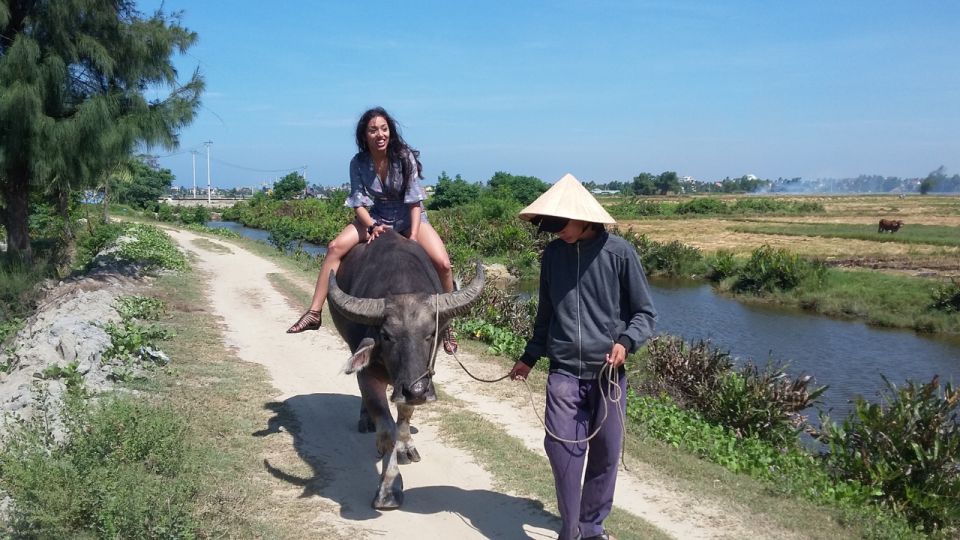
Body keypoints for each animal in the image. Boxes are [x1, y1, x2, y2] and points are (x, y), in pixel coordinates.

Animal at [326, 230, 484, 508]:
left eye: (430, 334)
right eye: (387, 336)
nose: (417, 390)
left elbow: (405, 415)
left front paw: (405, 447)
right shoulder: (368, 373)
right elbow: (386, 429)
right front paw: (388, 489)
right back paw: (366, 420)